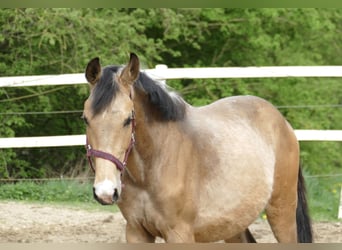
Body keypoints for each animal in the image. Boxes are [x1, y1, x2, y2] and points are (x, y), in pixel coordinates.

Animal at [82, 52, 312, 242]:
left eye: (128, 119)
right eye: (85, 119)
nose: (105, 191)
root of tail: (282, 122)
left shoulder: (179, 234)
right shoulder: (136, 232)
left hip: (281, 211)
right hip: (234, 224)